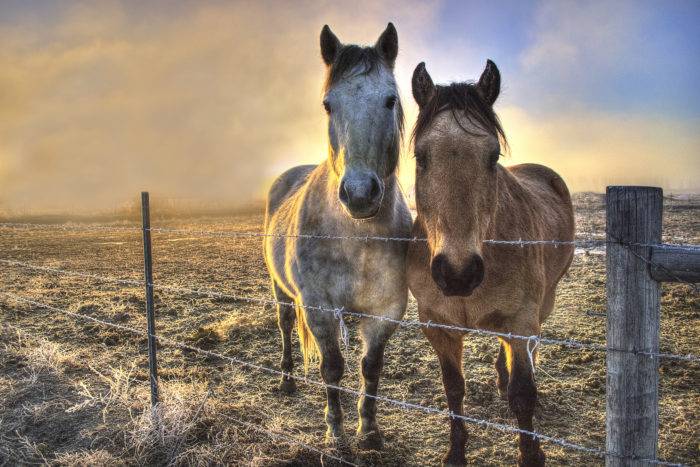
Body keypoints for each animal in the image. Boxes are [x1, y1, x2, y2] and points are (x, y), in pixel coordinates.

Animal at [266, 23, 412, 452]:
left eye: (390, 100)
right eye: (328, 105)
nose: (360, 193)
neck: (357, 238)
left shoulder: (387, 311)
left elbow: (370, 367)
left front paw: (369, 431)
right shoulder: (318, 307)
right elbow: (332, 367)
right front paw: (335, 431)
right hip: (281, 290)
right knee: (284, 326)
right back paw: (287, 380)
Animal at [408, 60, 572, 466]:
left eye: (493, 156)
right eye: (421, 156)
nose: (458, 274)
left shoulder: (521, 320)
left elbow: (523, 395)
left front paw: (531, 455)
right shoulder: (437, 326)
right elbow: (453, 389)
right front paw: (455, 452)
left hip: (542, 306)